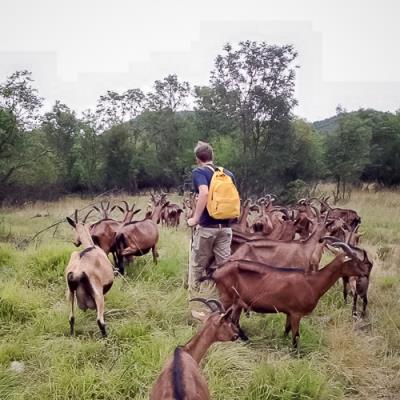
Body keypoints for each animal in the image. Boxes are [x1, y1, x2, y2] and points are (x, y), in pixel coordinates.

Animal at [64, 209, 114, 338]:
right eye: (74, 228)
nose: (76, 242)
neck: (91, 246)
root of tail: (77, 271)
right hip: (98, 294)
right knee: (100, 321)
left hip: (70, 293)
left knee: (71, 317)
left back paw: (72, 336)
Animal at [205, 242, 370, 348]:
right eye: (354, 261)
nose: (366, 272)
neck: (313, 282)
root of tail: (216, 272)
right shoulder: (297, 313)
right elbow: (296, 336)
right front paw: (296, 354)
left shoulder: (289, 313)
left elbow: (287, 329)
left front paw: (282, 342)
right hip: (226, 298)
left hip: (238, 302)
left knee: (235, 320)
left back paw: (245, 339)